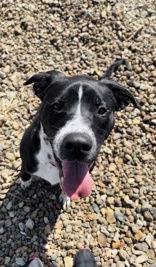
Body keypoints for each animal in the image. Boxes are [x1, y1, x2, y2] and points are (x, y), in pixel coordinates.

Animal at [19, 59, 140, 210]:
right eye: (57, 106)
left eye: (102, 110)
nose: (77, 145)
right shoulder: (26, 161)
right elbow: (25, 174)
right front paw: (24, 182)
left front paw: (66, 197)